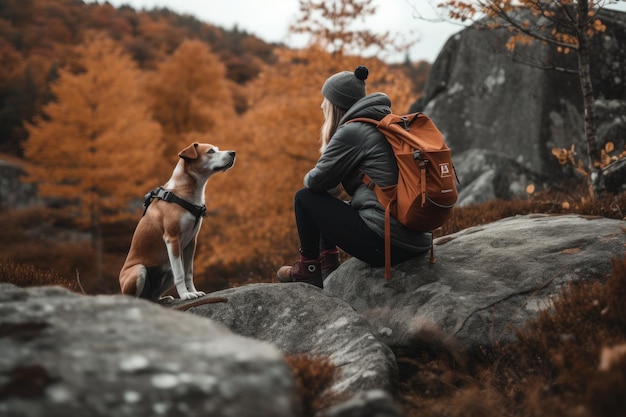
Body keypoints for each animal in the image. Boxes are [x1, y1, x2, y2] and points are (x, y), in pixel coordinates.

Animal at [119, 142, 234, 300]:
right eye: (210, 151)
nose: (233, 153)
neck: (184, 192)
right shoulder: (172, 239)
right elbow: (180, 274)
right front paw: (185, 295)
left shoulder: (191, 242)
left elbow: (188, 272)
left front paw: (194, 291)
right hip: (139, 270)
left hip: (168, 269)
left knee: (152, 297)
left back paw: (164, 299)